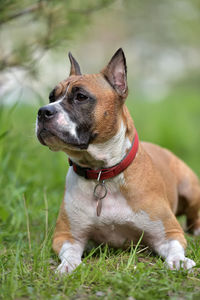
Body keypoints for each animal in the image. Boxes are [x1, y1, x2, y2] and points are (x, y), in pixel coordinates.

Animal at [36, 48, 200, 274]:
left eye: (80, 97)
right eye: (52, 97)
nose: (43, 111)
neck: (102, 172)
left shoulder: (168, 232)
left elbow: (175, 246)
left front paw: (179, 261)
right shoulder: (67, 235)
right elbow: (69, 251)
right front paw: (68, 265)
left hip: (190, 188)